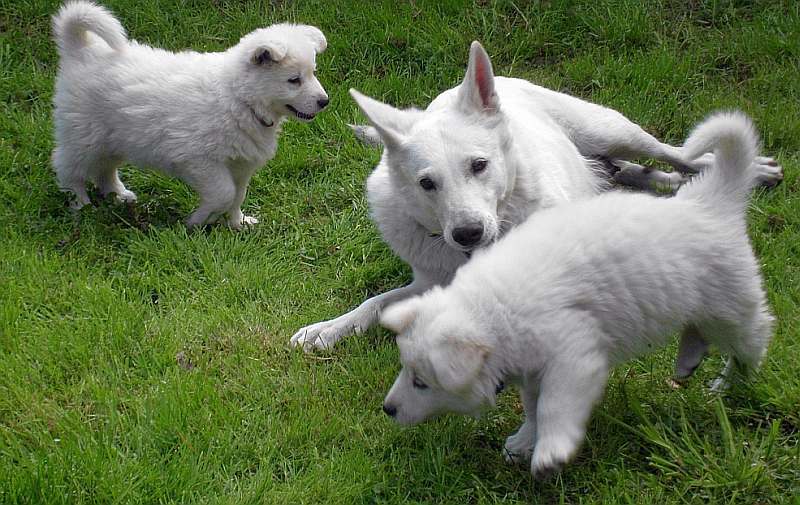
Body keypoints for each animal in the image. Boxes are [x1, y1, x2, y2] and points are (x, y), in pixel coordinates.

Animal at [51, 0, 326, 228]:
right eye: (294, 80)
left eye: (313, 72)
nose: (325, 101)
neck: (239, 98)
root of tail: (82, 49)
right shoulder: (199, 159)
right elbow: (224, 193)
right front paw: (197, 221)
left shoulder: (241, 164)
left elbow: (238, 195)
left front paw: (237, 223)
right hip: (84, 135)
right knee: (68, 167)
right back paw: (80, 204)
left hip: (114, 139)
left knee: (104, 169)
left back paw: (117, 195)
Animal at [382, 112, 776, 478]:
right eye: (406, 369)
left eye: (421, 382)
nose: (387, 409)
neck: (491, 312)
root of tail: (710, 200)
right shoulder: (531, 368)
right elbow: (532, 405)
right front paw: (524, 441)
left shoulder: (573, 354)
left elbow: (553, 404)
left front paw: (550, 451)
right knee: (699, 331)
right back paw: (688, 362)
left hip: (730, 304)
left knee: (752, 339)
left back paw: (730, 384)